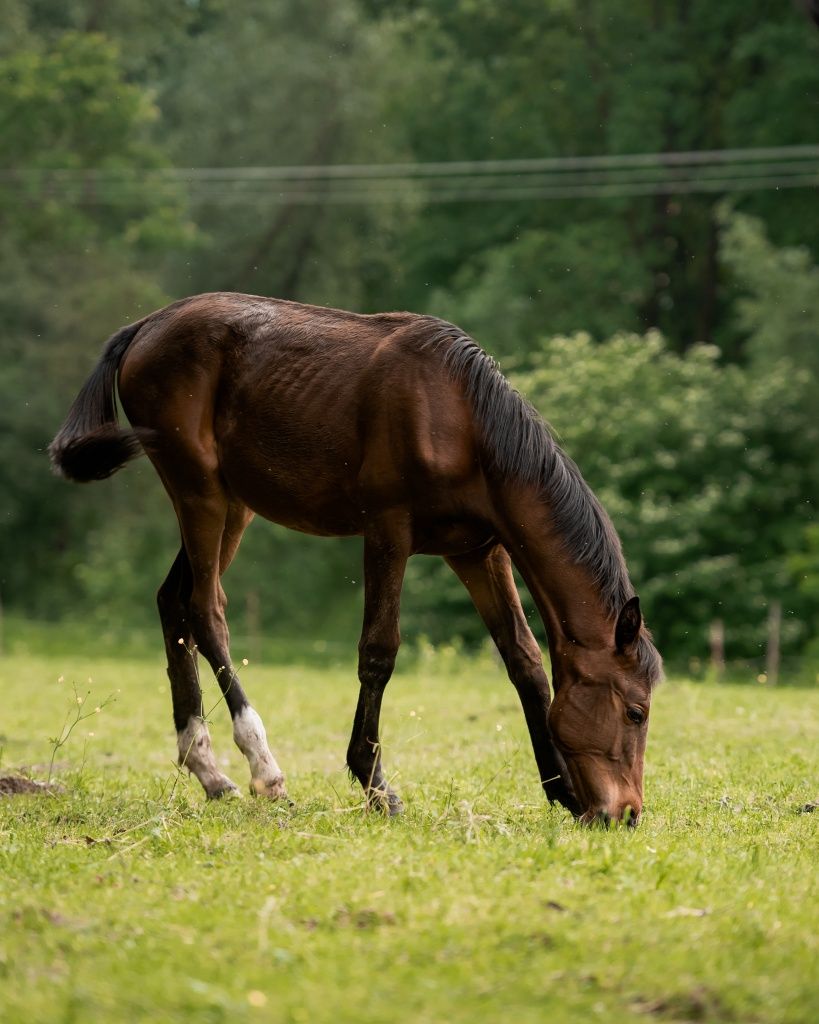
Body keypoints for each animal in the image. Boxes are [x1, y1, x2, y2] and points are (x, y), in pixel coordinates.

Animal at [49, 288, 663, 823]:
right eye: (636, 711)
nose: (627, 813)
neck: (460, 418)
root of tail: (145, 327)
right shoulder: (388, 533)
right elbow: (379, 652)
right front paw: (374, 784)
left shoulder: (478, 552)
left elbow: (525, 660)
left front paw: (561, 790)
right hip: (200, 492)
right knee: (206, 610)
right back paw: (264, 771)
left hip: (232, 506)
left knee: (173, 603)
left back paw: (209, 772)